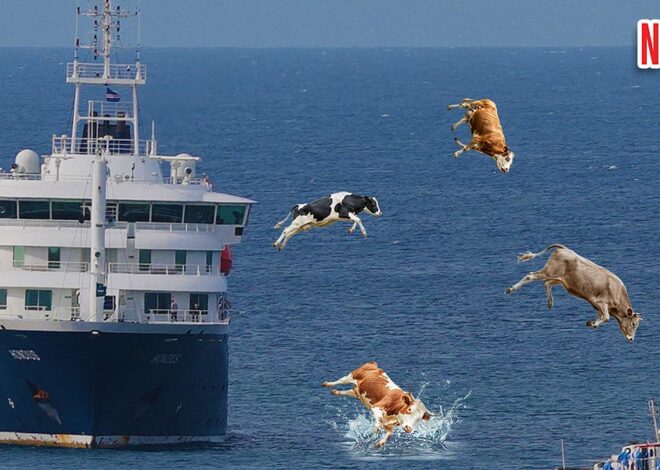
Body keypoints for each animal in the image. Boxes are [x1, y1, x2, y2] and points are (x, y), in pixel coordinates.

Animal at [505, 244, 642, 342]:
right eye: (633, 324)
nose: (631, 339)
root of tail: (564, 249)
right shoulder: (600, 302)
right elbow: (607, 317)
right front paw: (594, 324)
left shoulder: (597, 305)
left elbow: (601, 316)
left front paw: (591, 322)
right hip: (550, 271)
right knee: (530, 276)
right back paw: (511, 289)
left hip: (560, 279)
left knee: (546, 283)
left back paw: (550, 302)